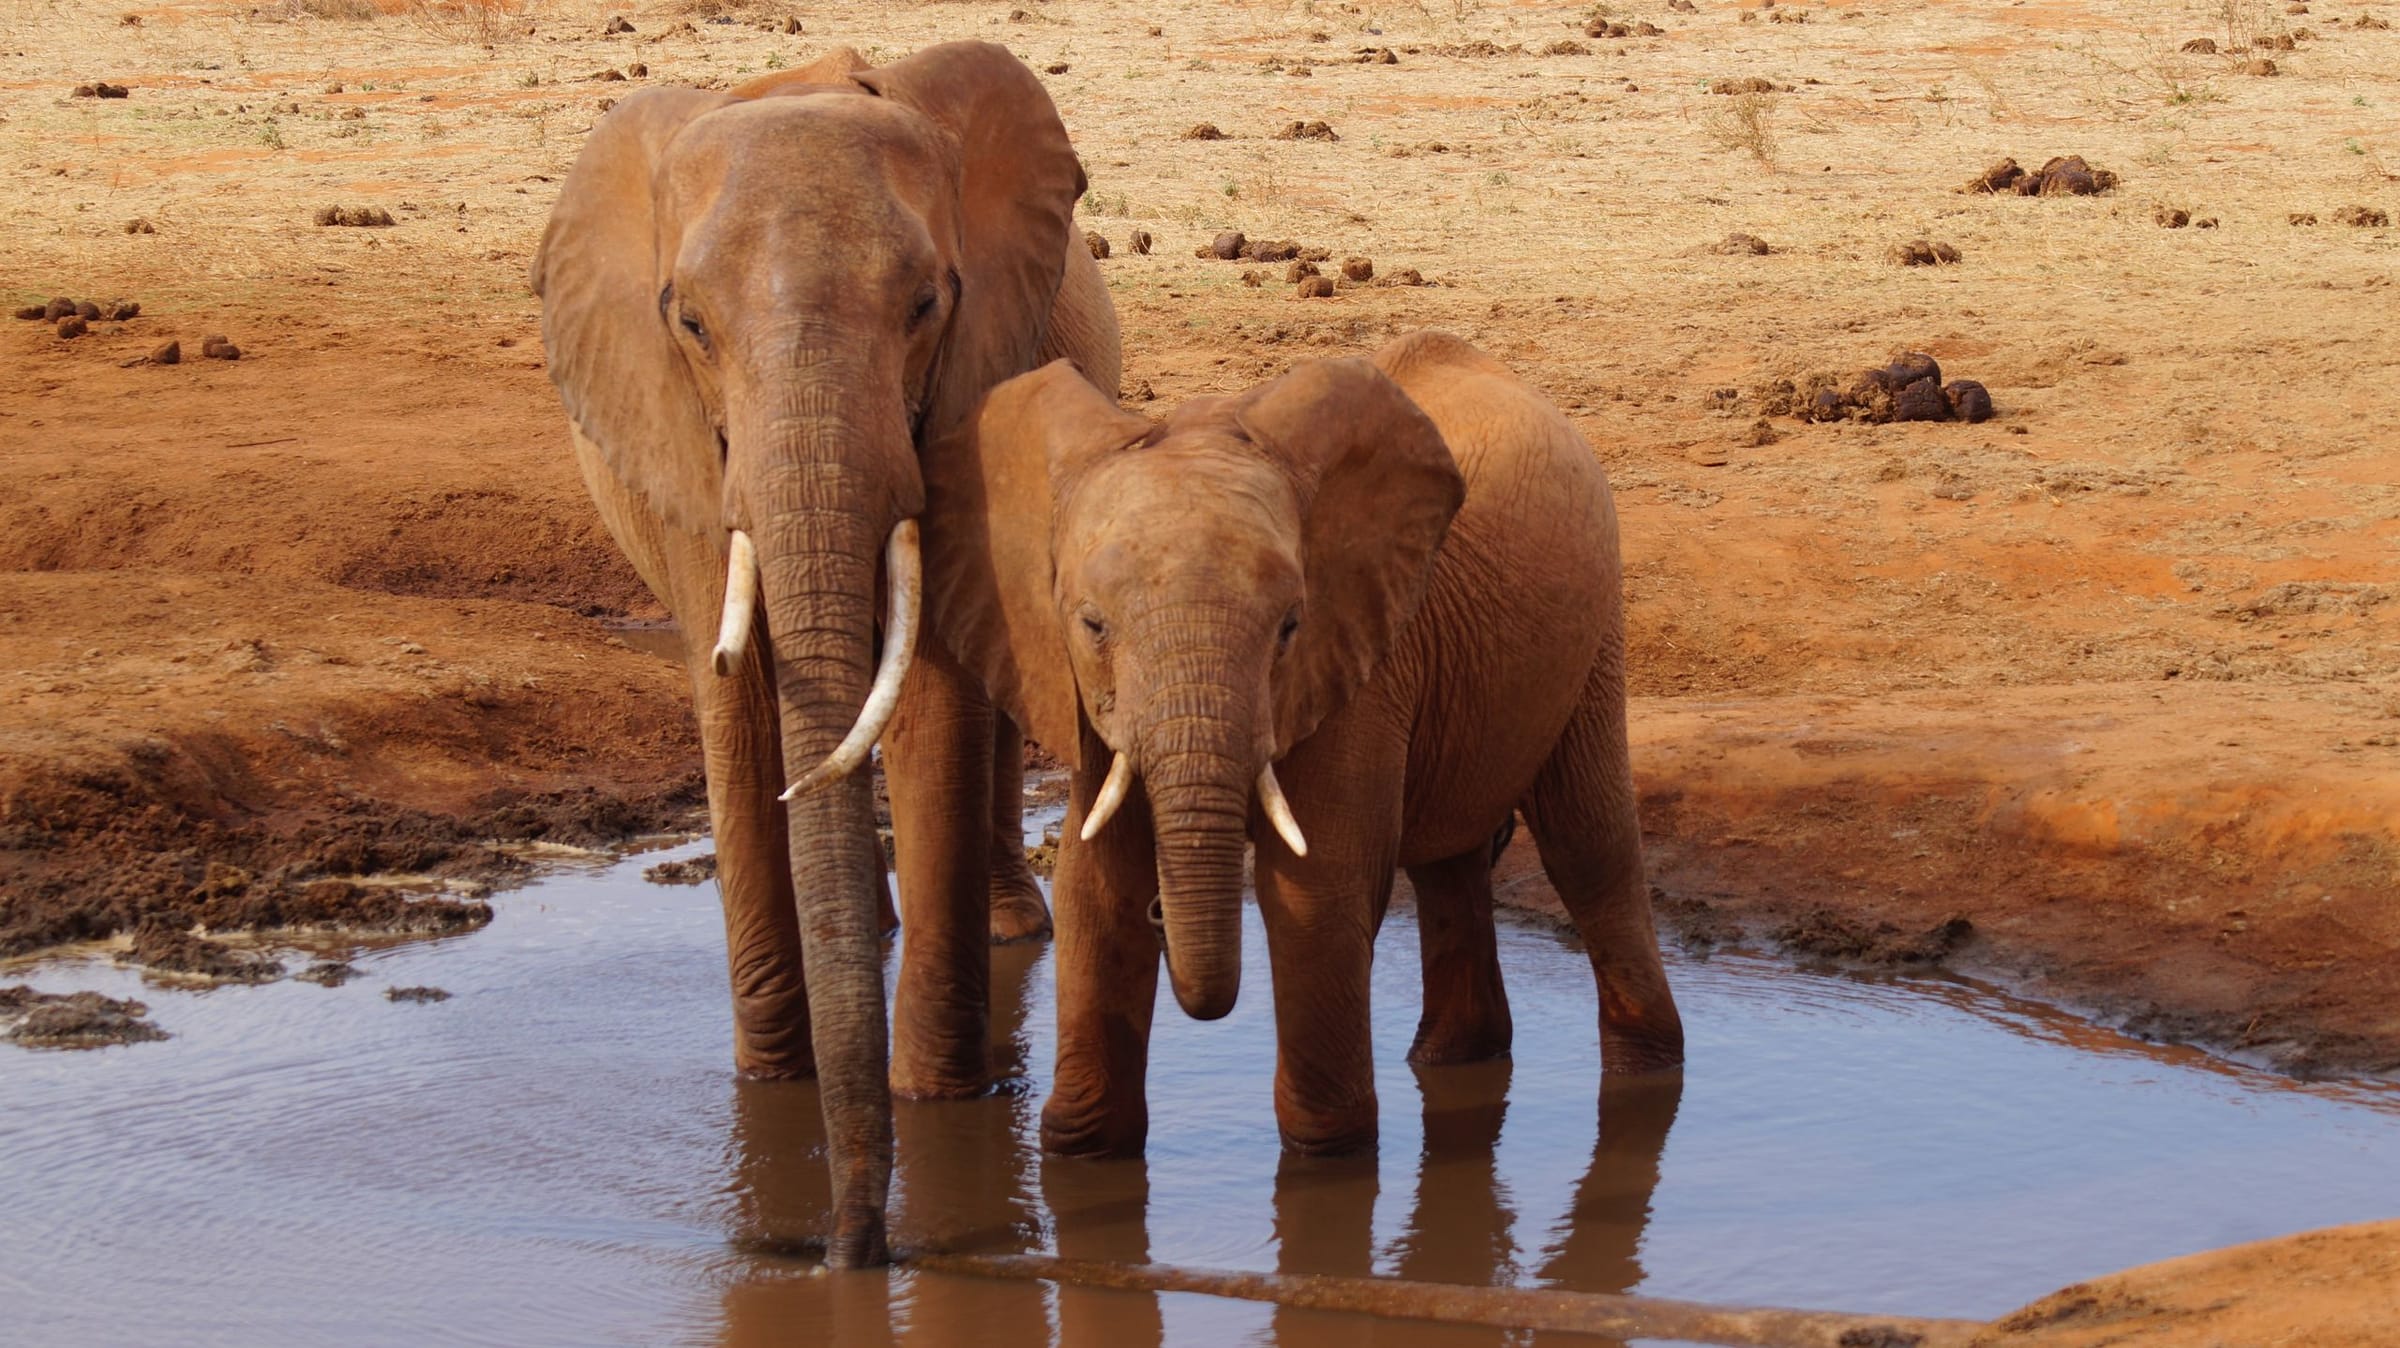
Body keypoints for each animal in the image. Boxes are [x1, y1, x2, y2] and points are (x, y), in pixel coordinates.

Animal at [530, 41, 1121, 1266]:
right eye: (689, 324)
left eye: (928, 303)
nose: (851, 1251)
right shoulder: (685, 451)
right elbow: (739, 703)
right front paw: (770, 1092)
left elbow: (936, 695)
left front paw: (938, 1104)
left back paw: (1008, 926)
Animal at [917, 329, 1683, 1158]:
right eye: (1092, 626)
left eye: (1288, 627)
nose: (1165, 918)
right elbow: (1097, 885)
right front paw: (1084, 1151)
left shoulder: (1358, 658)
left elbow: (1316, 889)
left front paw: (1327, 1155)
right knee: (1449, 864)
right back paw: (1452, 1060)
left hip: (1594, 617)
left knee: (1588, 845)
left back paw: (1646, 1083)